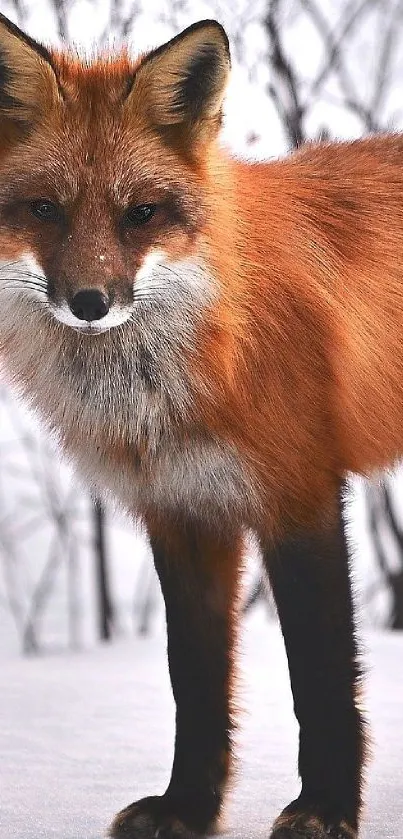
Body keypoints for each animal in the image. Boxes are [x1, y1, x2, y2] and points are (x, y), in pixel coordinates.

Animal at [3, 11, 403, 839]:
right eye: (44, 209)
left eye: (141, 213)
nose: (89, 302)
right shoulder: (182, 509)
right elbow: (193, 682)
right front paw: (187, 807)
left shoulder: (299, 493)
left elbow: (320, 676)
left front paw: (324, 808)